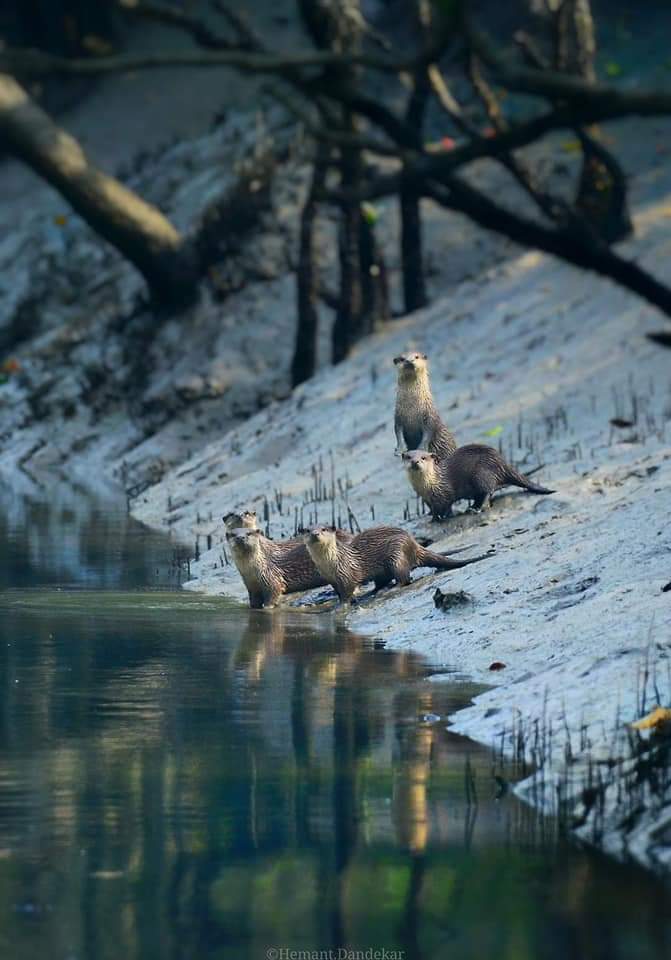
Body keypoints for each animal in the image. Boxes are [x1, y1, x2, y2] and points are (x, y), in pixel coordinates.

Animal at [304, 525, 493, 604]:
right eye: (307, 530)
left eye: (323, 529)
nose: (315, 533)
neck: (330, 564)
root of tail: (414, 545)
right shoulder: (331, 579)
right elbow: (337, 591)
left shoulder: (346, 574)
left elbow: (347, 591)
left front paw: (340, 605)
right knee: (383, 581)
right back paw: (374, 591)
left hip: (396, 555)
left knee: (404, 578)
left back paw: (390, 589)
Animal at [403, 446, 555, 519]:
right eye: (409, 457)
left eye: (423, 458)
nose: (415, 461)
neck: (428, 486)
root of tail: (502, 462)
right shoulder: (426, 498)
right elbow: (433, 509)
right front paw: (433, 519)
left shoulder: (445, 492)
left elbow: (447, 504)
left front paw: (444, 517)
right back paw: (471, 507)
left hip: (481, 474)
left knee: (488, 492)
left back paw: (477, 509)